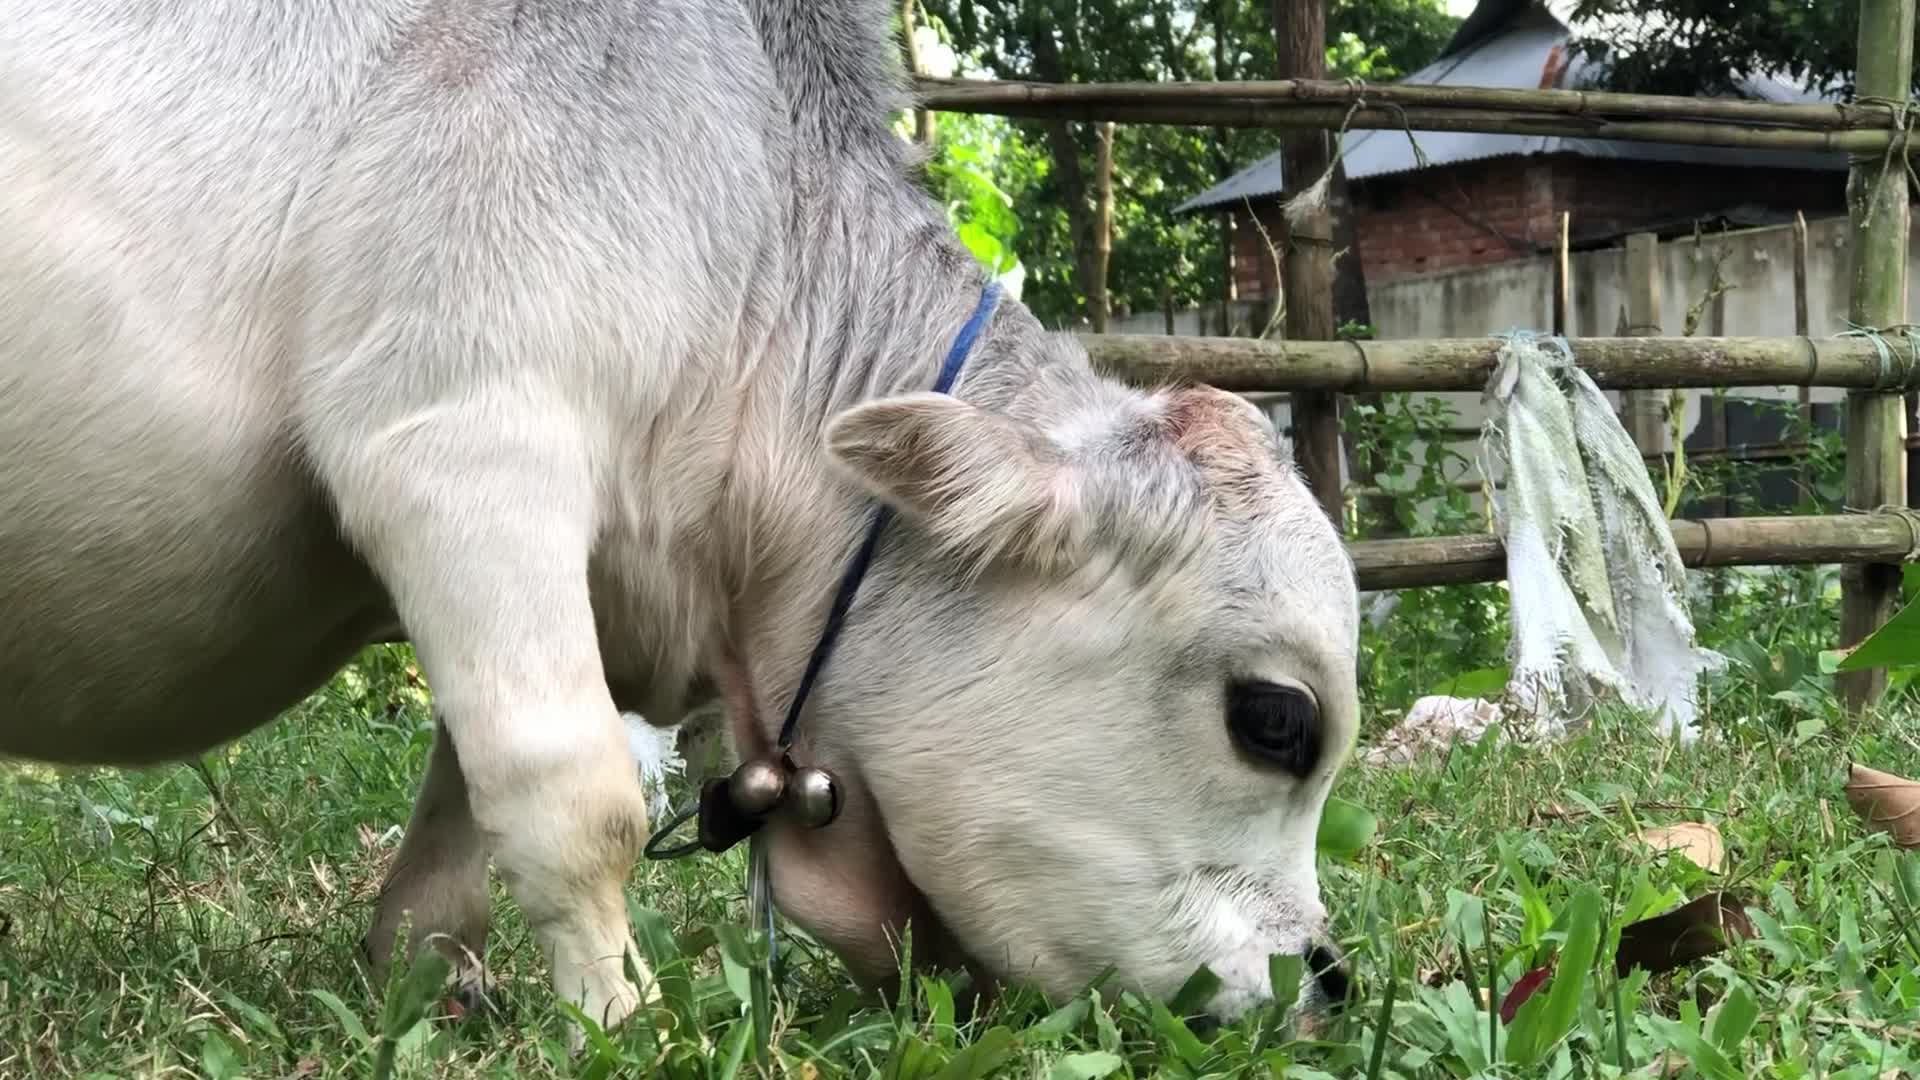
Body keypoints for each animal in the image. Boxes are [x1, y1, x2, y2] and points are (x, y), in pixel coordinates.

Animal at [0, 0, 1361, 1045]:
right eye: (1275, 721)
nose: (1330, 986)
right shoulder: (459, 440)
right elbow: (572, 791)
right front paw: (621, 1018)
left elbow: (459, 808)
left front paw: (435, 981)